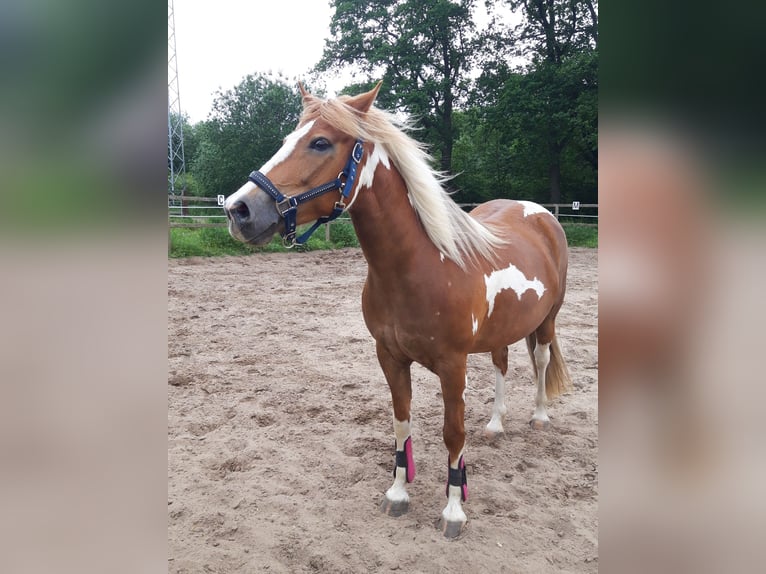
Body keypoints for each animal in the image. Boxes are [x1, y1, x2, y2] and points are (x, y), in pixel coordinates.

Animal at [225, 82, 572, 540]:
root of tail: (542, 214)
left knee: (542, 360)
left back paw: (539, 417)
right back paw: (496, 424)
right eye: (286, 140)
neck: (421, 266)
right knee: (502, 363)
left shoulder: (453, 365)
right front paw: (398, 493)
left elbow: (453, 433)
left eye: (320, 143)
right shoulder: (389, 357)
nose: (239, 210)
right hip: (502, 328)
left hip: (547, 321)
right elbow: (401, 423)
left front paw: (454, 511)